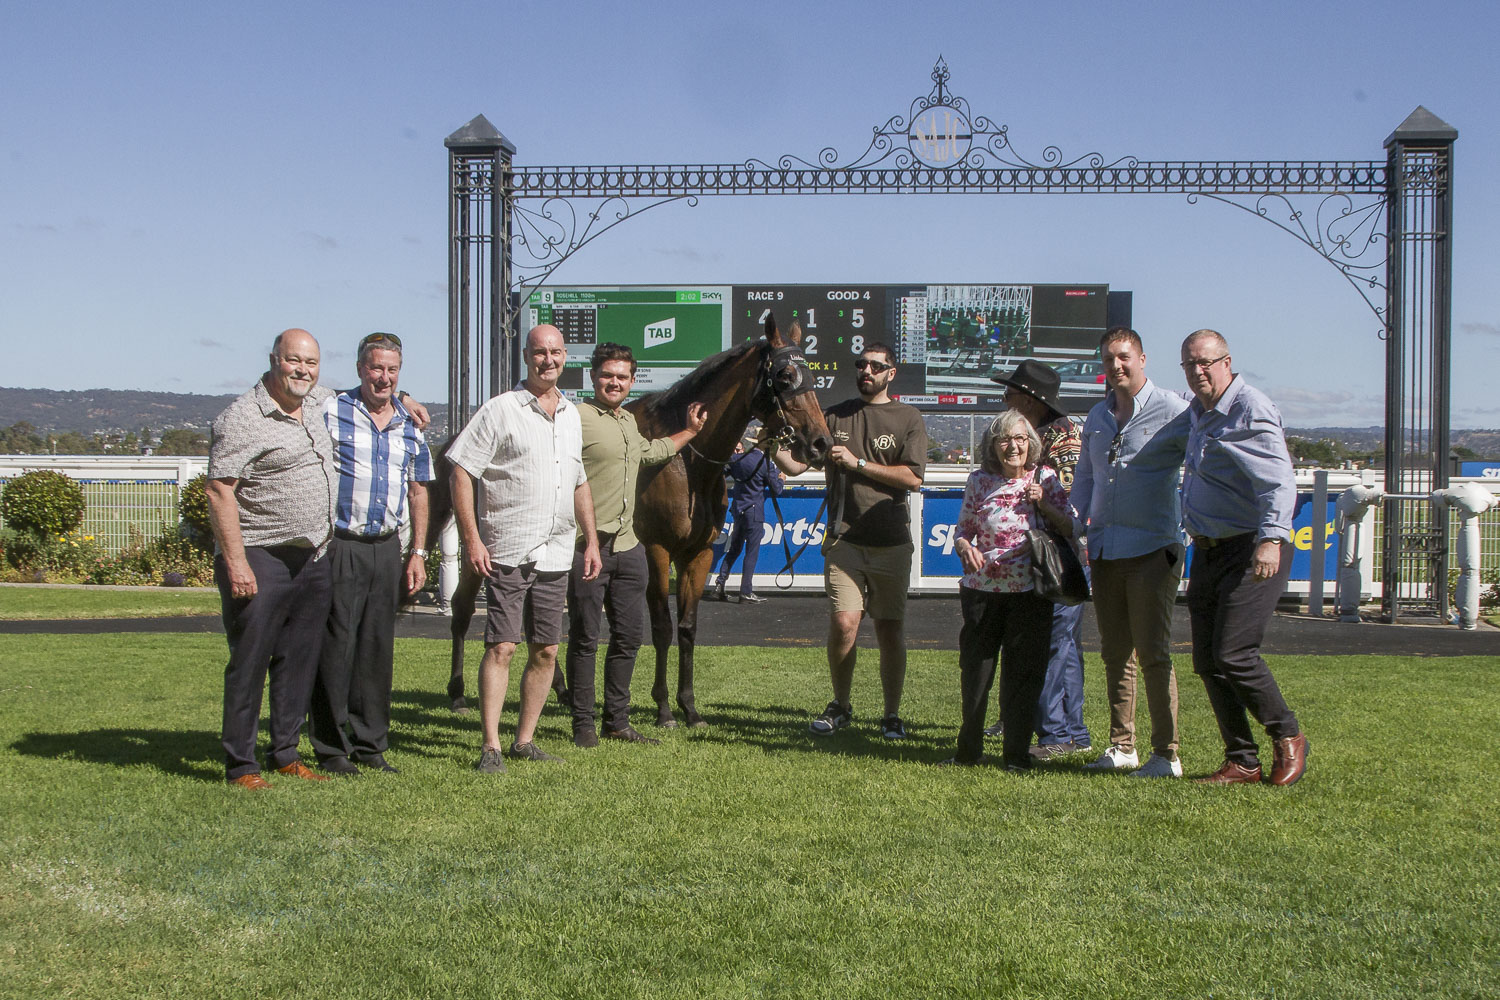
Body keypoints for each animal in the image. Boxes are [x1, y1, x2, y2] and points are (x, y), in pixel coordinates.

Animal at [420, 319, 834, 728]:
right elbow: (662, 627)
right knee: (461, 607)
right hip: (486, 548)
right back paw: (458, 693)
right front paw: (664, 708)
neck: (687, 463)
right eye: (784, 375)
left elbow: (687, 628)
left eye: (813, 375)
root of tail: (460, 440)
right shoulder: (656, 550)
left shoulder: (698, 553)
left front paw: (690, 708)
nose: (820, 443)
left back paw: (562, 689)